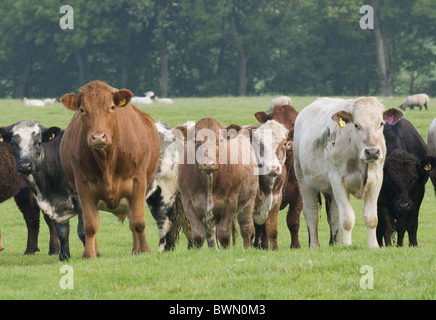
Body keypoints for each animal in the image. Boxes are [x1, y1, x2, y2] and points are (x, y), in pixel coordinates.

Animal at [2, 120, 85, 260]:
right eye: (13, 143)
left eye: (39, 142)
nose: (25, 165)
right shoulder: (55, 202)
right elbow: (63, 231)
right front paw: (64, 257)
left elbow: (83, 229)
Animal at [58, 81, 159, 258]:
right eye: (82, 109)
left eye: (112, 107)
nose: (98, 137)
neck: (106, 160)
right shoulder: (82, 185)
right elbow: (90, 223)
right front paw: (89, 254)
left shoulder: (139, 182)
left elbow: (138, 221)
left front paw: (144, 250)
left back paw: (136, 249)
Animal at [178, 116, 258, 249]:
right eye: (196, 141)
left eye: (219, 140)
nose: (208, 164)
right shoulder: (187, 201)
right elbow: (199, 235)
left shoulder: (231, 201)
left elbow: (224, 234)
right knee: (211, 233)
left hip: (248, 202)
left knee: (246, 229)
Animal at [252, 105, 304, 248]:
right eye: (274, 118)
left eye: (294, 124)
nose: (289, 144)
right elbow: (262, 225)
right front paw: (264, 246)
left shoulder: (299, 193)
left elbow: (293, 220)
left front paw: (295, 245)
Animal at [292, 97, 402, 248]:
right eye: (356, 125)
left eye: (381, 123)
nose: (372, 151)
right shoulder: (338, 180)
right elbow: (347, 219)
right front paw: (348, 245)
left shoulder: (376, 180)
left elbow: (371, 218)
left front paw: (373, 246)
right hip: (304, 180)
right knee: (311, 212)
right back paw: (314, 245)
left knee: (333, 215)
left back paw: (337, 243)